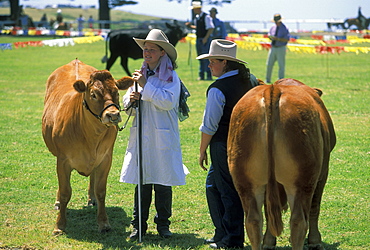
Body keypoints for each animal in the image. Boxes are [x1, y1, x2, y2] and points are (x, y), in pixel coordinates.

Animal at [42, 59, 134, 234]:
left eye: (117, 92)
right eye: (93, 94)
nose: (113, 115)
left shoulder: (106, 158)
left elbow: (101, 191)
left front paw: (104, 223)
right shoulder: (62, 160)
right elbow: (65, 192)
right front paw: (60, 225)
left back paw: (92, 199)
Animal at [228, 78, 336, 250]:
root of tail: (273, 89)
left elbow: (268, 210)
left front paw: (268, 242)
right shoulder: (323, 172)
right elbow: (315, 207)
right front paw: (315, 241)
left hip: (244, 179)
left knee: (253, 221)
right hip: (304, 179)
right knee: (299, 221)